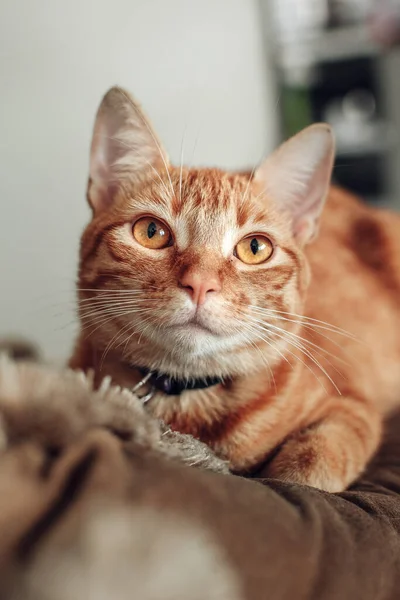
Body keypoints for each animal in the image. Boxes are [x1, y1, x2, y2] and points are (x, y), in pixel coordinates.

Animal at [70, 88, 400, 492]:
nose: (200, 283)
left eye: (254, 248)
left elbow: (312, 464)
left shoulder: (350, 408)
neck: (189, 401)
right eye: (151, 232)